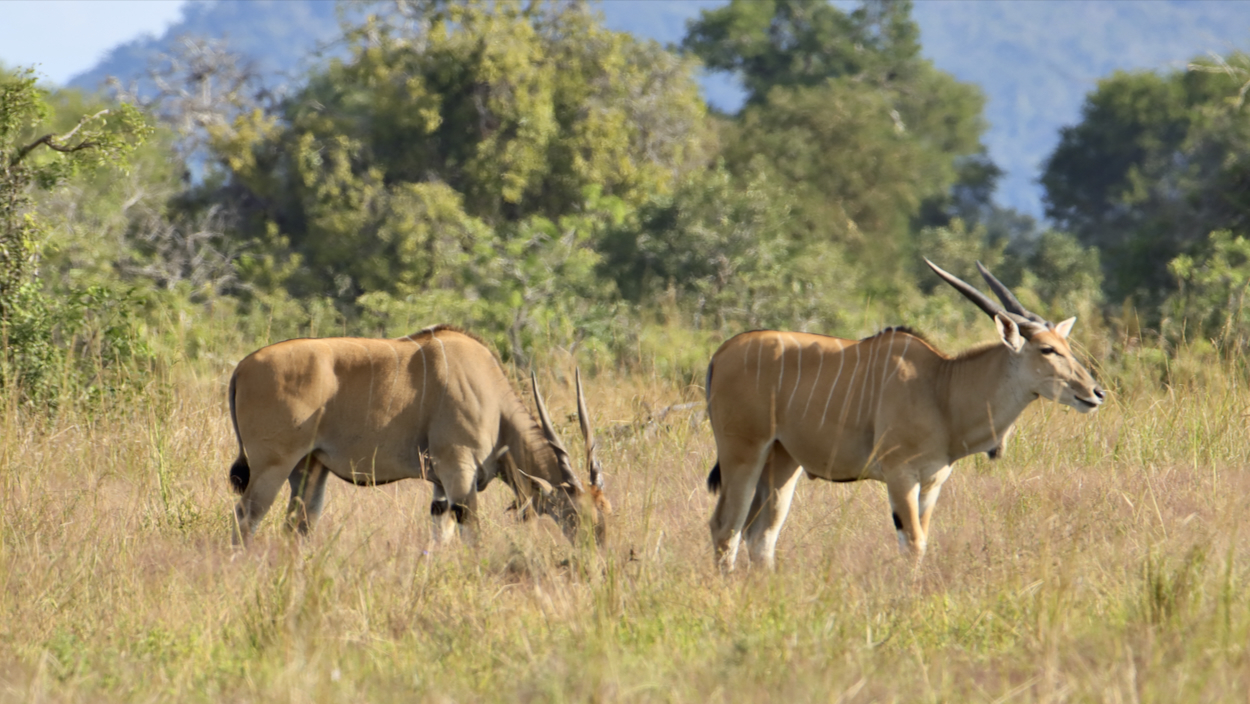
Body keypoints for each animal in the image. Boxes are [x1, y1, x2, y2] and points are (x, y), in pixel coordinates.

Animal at [231, 327, 615, 550]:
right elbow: (472, 535)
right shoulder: (459, 471)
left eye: (607, 512)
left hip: (309, 467)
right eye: (575, 515)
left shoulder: (441, 487)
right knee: (246, 517)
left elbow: (439, 534)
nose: (596, 556)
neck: (493, 400)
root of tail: (242, 366)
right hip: (272, 466)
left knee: (297, 525)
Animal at [705, 261, 1105, 570]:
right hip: (743, 453)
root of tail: (721, 353)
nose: (1095, 392)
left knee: (760, 535)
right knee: (725, 528)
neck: (941, 387)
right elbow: (912, 544)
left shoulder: (931, 483)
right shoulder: (900, 476)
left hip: (783, 462)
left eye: (1067, 345)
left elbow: (920, 541)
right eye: (1048, 350)